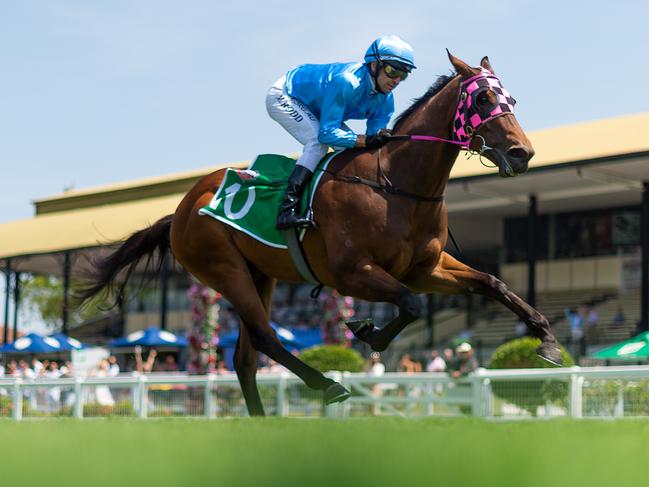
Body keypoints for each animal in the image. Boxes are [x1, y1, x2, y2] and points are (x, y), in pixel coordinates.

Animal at [78, 54, 560, 420]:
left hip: (260, 275)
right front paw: (368, 331)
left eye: (512, 98)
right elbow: (409, 304)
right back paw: (327, 384)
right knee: (265, 338)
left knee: (245, 357)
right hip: (223, 268)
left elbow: (492, 284)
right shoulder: (352, 273)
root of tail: (178, 210)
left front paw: (548, 342)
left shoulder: (426, 268)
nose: (522, 153)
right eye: (482, 97)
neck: (396, 185)